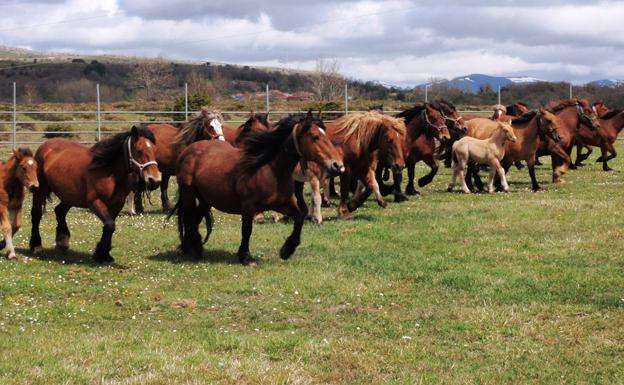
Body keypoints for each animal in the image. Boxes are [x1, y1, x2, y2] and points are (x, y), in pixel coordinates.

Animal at [30, 125, 161, 260]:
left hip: (70, 196)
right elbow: (109, 225)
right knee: (36, 214)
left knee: (59, 211)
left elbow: (110, 226)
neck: (108, 171)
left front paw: (104, 254)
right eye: (139, 151)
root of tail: (45, 145)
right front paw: (101, 254)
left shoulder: (117, 204)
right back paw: (36, 246)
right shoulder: (95, 202)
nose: (155, 180)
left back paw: (62, 242)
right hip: (41, 191)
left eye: (154, 150)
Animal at [173, 111, 344, 264]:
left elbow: (299, 218)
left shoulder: (282, 203)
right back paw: (192, 249)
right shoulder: (248, 206)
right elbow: (247, 230)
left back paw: (193, 247)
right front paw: (246, 257)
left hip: (206, 200)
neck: (268, 168)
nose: (337, 165)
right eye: (315, 137)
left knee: (195, 219)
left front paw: (287, 250)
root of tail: (190, 149)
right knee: (188, 218)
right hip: (189, 193)